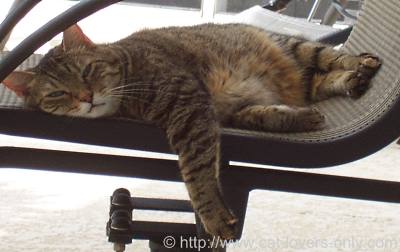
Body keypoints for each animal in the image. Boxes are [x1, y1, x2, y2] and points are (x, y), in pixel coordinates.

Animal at [0, 23, 382, 238]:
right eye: (56, 94)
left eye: (87, 71)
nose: (86, 97)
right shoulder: (230, 111)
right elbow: (263, 117)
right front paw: (299, 119)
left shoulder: (188, 104)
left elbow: (196, 171)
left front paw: (212, 215)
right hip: (301, 81)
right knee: (316, 83)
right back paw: (347, 82)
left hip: (294, 47)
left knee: (329, 57)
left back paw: (358, 64)